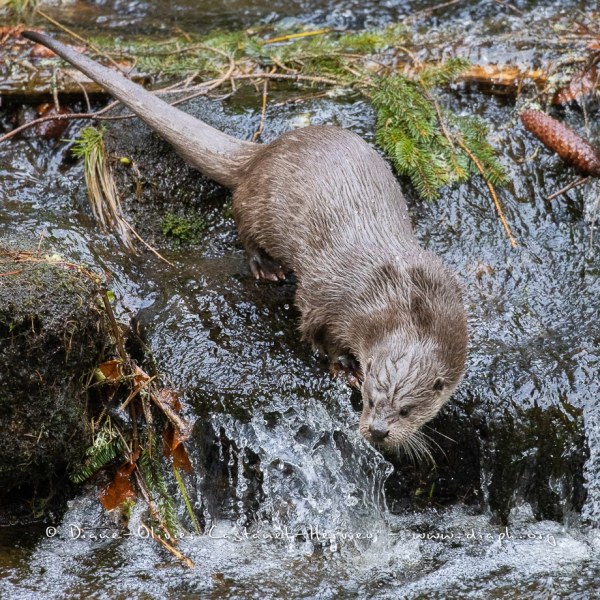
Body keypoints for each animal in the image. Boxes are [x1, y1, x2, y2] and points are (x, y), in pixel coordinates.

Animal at [22, 30, 468, 452]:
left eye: (407, 409)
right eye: (372, 398)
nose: (377, 430)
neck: (403, 304)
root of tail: (262, 152)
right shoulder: (331, 297)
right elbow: (315, 328)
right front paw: (344, 366)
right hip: (259, 207)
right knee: (244, 226)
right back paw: (266, 267)